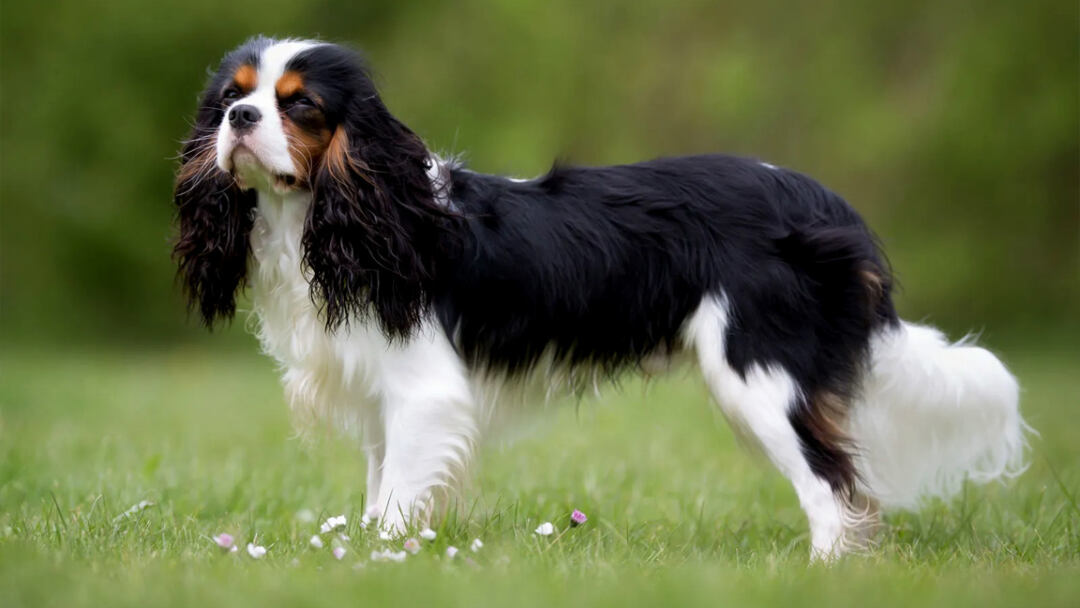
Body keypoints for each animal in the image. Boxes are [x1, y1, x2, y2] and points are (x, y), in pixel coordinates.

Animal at [172, 39, 1023, 561]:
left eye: (299, 105)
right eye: (231, 99)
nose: (239, 120)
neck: (346, 212)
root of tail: (825, 205)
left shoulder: (424, 393)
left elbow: (399, 500)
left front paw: (380, 560)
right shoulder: (383, 397)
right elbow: (385, 491)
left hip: (761, 376)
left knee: (832, 485)